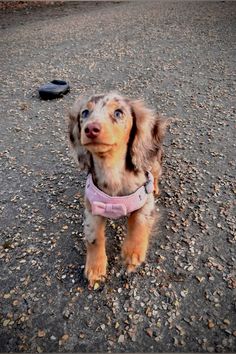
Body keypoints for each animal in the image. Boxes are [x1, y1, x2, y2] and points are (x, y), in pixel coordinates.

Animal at [68, 92, 170, 288]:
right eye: (85, 112)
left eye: (118, 112)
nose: (91, 129)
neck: (111, 170)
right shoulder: (92, 207)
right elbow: (93, 238)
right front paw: (95, 268)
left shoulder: (145, 199)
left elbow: (139, 222)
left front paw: (132, 253)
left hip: (153, 162)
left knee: (155, 173)